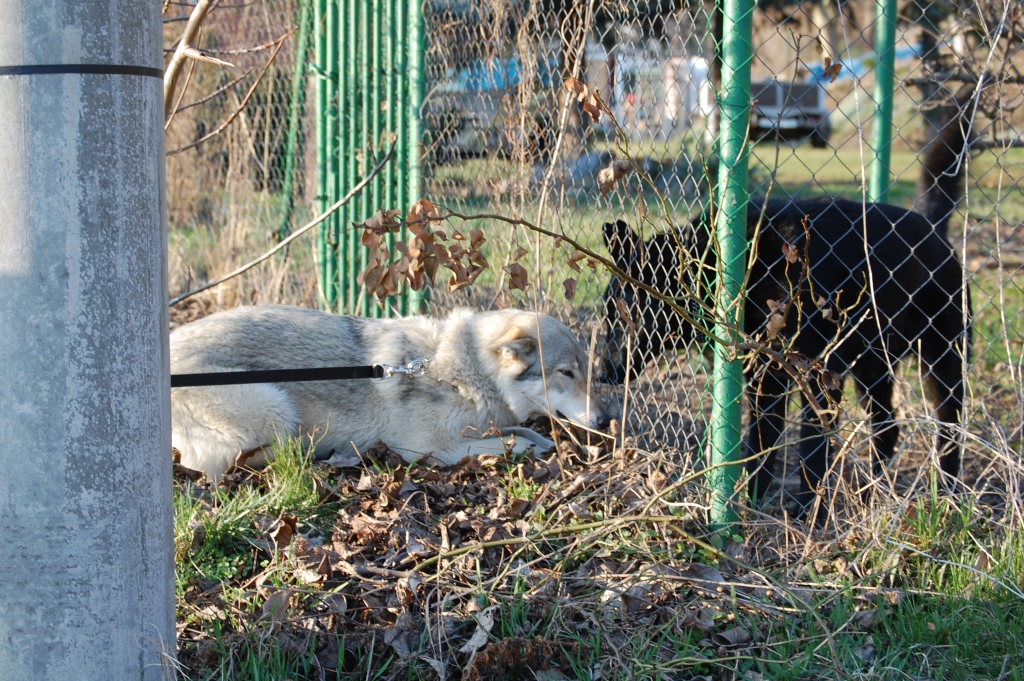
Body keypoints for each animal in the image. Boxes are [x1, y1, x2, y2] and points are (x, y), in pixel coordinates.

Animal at [171, 305, 610, 481]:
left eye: (587, 372)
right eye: (566, 373)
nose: (606, 420)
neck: (461, 369)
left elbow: (529, 431)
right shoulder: (428, 448)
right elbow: (520, 443)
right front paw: (536, 449)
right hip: (275, 410)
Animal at [598, 96, 974, 520]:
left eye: (623, 316)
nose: (602, 373)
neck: (728, 267)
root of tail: (935, 231)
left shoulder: (817, 380)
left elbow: (811, 452)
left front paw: (808, 513)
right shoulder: (766, 383)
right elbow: (760, 449)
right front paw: (749, 506)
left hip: (942, 365)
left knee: (949, 430)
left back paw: (949, 494)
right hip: (872, 371)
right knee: (888, 427)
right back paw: (875, 494)